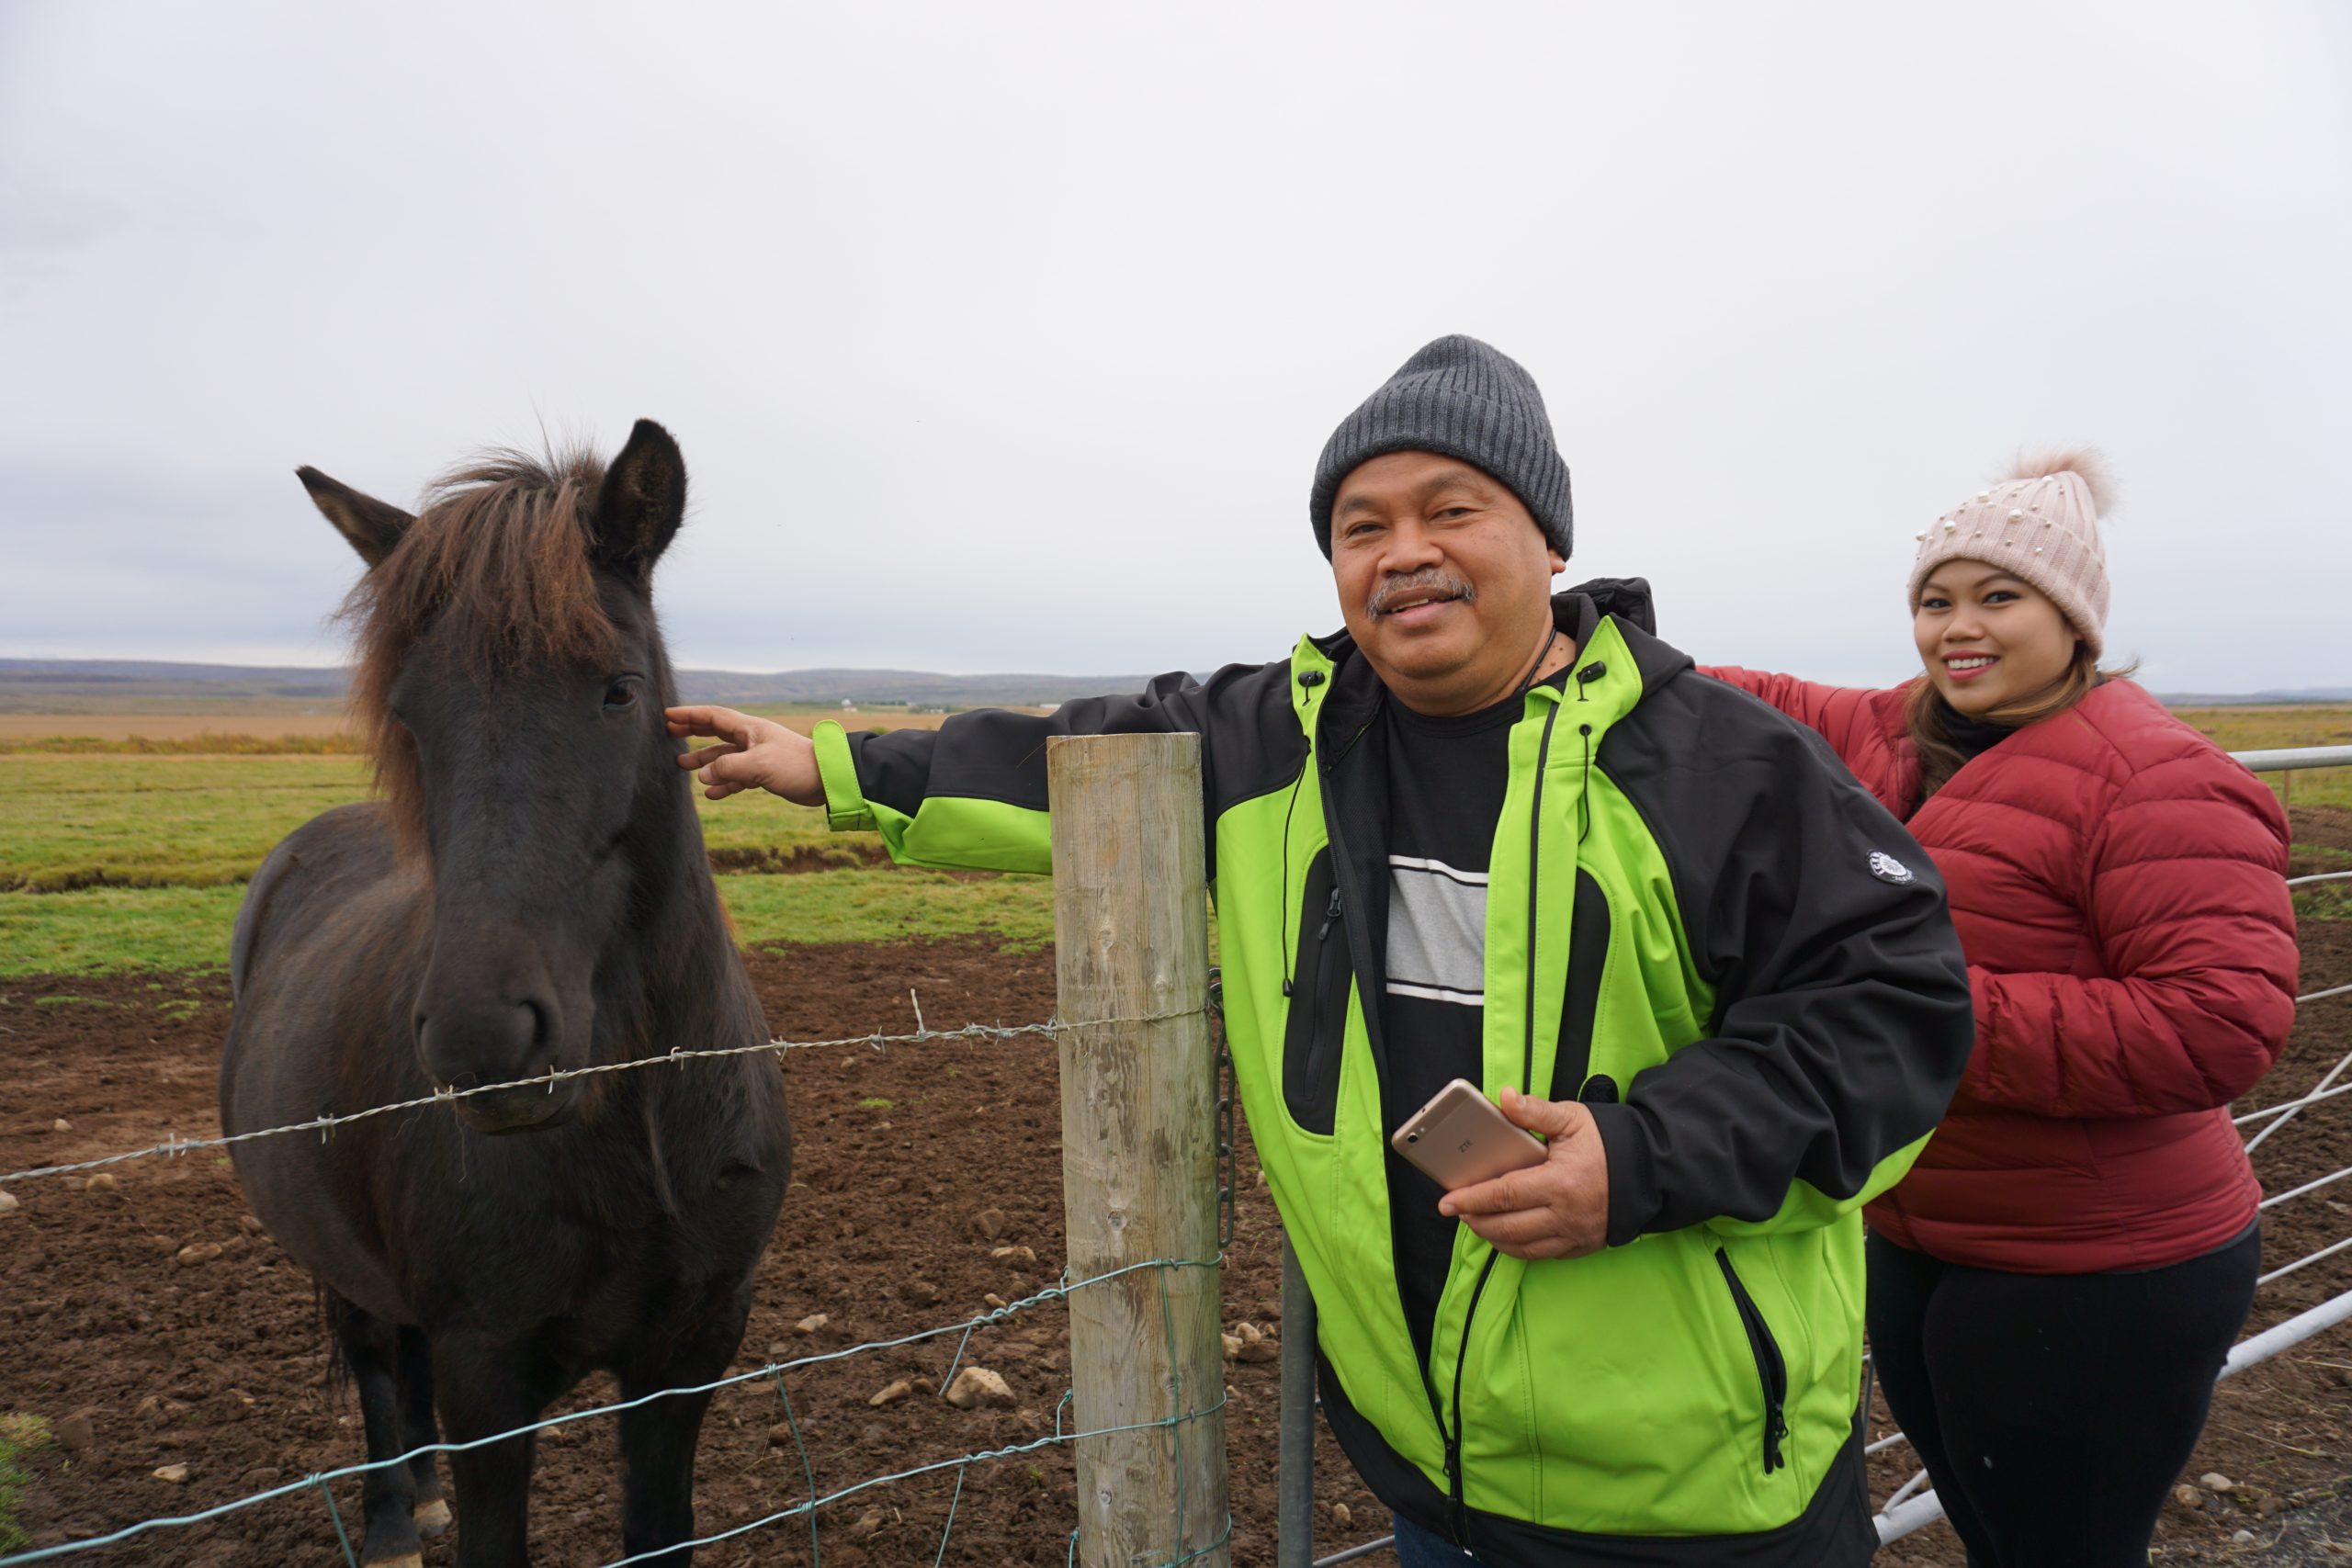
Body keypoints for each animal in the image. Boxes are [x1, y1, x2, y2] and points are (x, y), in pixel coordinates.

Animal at [221, 421, 790, 1568]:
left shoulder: (691, 1350)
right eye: (408, 715)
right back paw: (395, 1519)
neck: (643, 1118)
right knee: (376, 1356)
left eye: (618, 690)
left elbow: (658, 1530)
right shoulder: (490, 1374)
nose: (484, 1042)